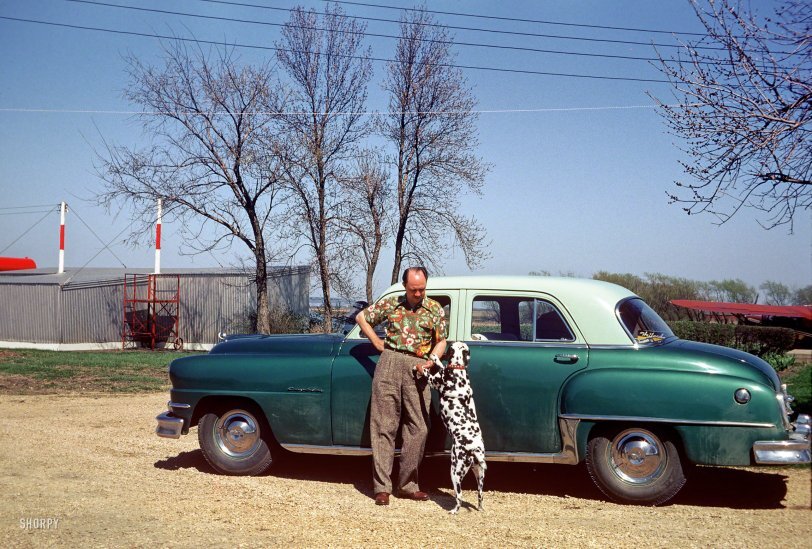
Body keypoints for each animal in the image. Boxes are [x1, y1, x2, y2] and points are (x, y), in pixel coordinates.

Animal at [418, 340, 482, 512]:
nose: (450, 340)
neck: (458, 370)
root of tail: (474, 449)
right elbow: (440, 365)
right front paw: (435, 358)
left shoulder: (434, 381)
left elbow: (427, 372)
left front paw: (422, 366)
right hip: (479, 475)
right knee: (480, 496)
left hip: (455, 472)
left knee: (459, 496)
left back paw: (454, 511)